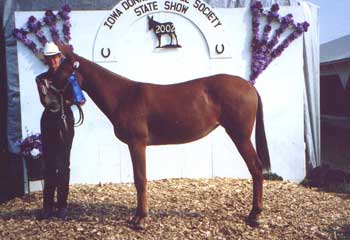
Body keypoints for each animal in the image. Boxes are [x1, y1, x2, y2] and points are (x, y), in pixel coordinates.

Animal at [54, 44, 270, 229]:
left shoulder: (137, 143)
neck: (123, 96)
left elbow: (140, 179)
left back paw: (255, 215)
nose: (50, 94)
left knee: (256, 168)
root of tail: (250, 87)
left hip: (240, 136)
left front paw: (140, 219)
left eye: (61, 70)